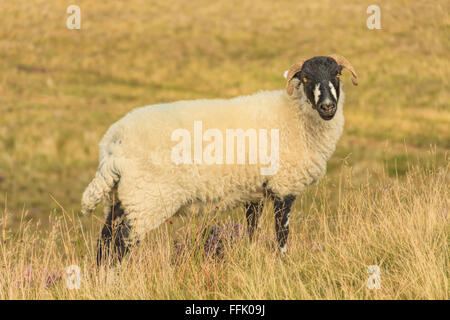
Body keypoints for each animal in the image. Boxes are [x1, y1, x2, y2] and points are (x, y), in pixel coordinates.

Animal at [82, 53, 358, 264]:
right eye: (306, 78)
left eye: (336, 75)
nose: (327, 107)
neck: (295, 116)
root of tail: (112, 143)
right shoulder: (284, 186)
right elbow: (282, 233)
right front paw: (283, 262)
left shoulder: (254, 192)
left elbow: (252, 229)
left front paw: (252, 255)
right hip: (145, 199)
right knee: (120, 243)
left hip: (121, 197)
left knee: (105, 241)